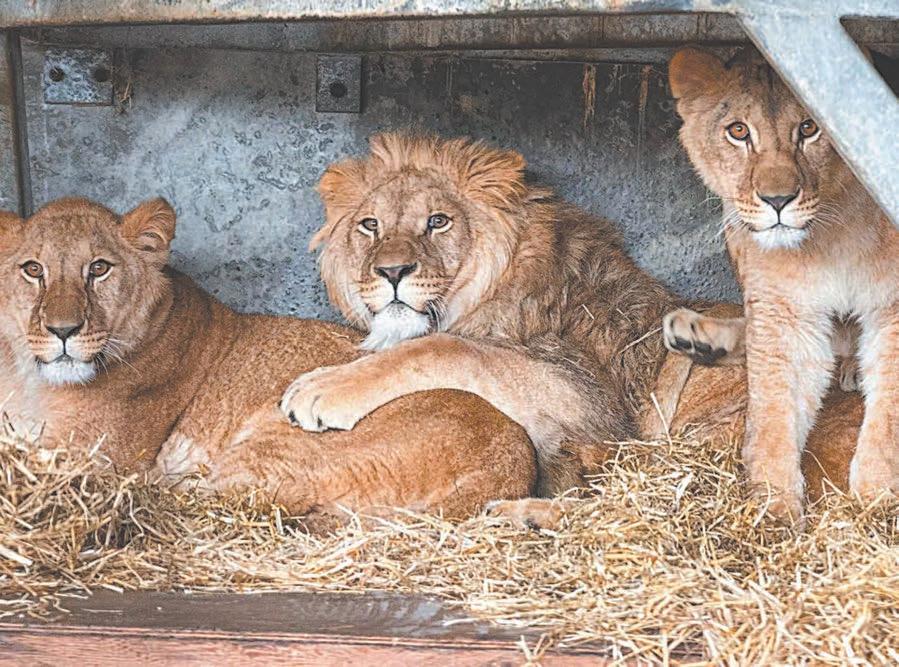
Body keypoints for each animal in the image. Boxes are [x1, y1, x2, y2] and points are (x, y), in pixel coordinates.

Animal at [0, 197, 536, 524]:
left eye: (99, 269)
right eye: (32, 270)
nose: (62, 331)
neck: (27, 376)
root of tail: (513, 460)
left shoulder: (89, 455)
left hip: (267, 445)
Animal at [277, 133, 864, 524]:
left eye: (438, 221)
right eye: (369, 225)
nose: (392, 271)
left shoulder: (590, 400)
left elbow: (448, 349)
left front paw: (322, 388)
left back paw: (519, 514)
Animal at [666, 47, 898, 520]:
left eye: (809, 127)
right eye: (738, 131)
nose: (777, 201)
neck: (832, 233)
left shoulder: (893, 305)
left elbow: (889, 409)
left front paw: (877, 495)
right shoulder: (785, 309)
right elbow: (774, 411)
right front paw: (772, 509)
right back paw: (696, 336)